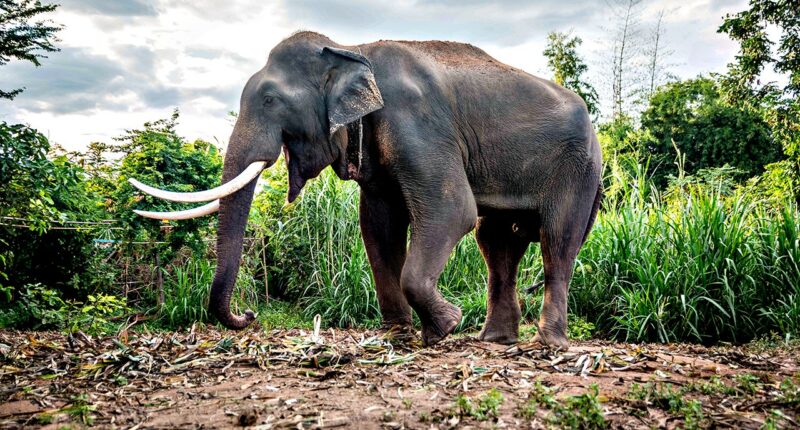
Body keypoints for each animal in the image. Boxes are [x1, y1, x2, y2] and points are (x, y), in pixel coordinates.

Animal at [130, 31, 603, 348]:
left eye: (269, 100)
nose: (248, 314)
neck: (352, 50)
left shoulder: (416, 121)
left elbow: (453, 210)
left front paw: (445, 327)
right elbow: (378, 227)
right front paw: (399, 334)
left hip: (579, 167)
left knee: (555, 240)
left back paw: (547, 343)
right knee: (497, 241)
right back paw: (495, 340)